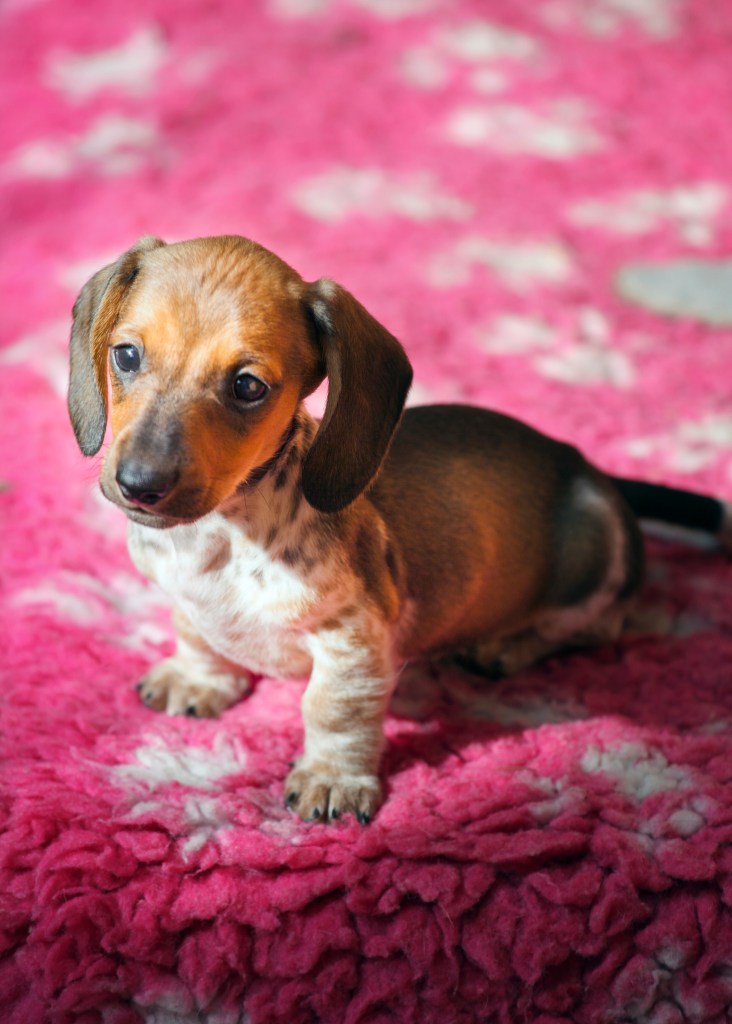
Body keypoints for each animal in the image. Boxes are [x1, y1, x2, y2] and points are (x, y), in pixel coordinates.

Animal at [68, 234, 732, 823]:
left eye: (247, 386)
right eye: (126, 355)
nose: (139, 484)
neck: (220, 539)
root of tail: (590, 468)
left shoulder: (354, 639)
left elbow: (331, 710)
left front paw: (333, 778)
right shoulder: (186, 599)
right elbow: (197, 635)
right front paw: (197, 681)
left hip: (592, 572)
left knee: (596, 625)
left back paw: (505, 645)